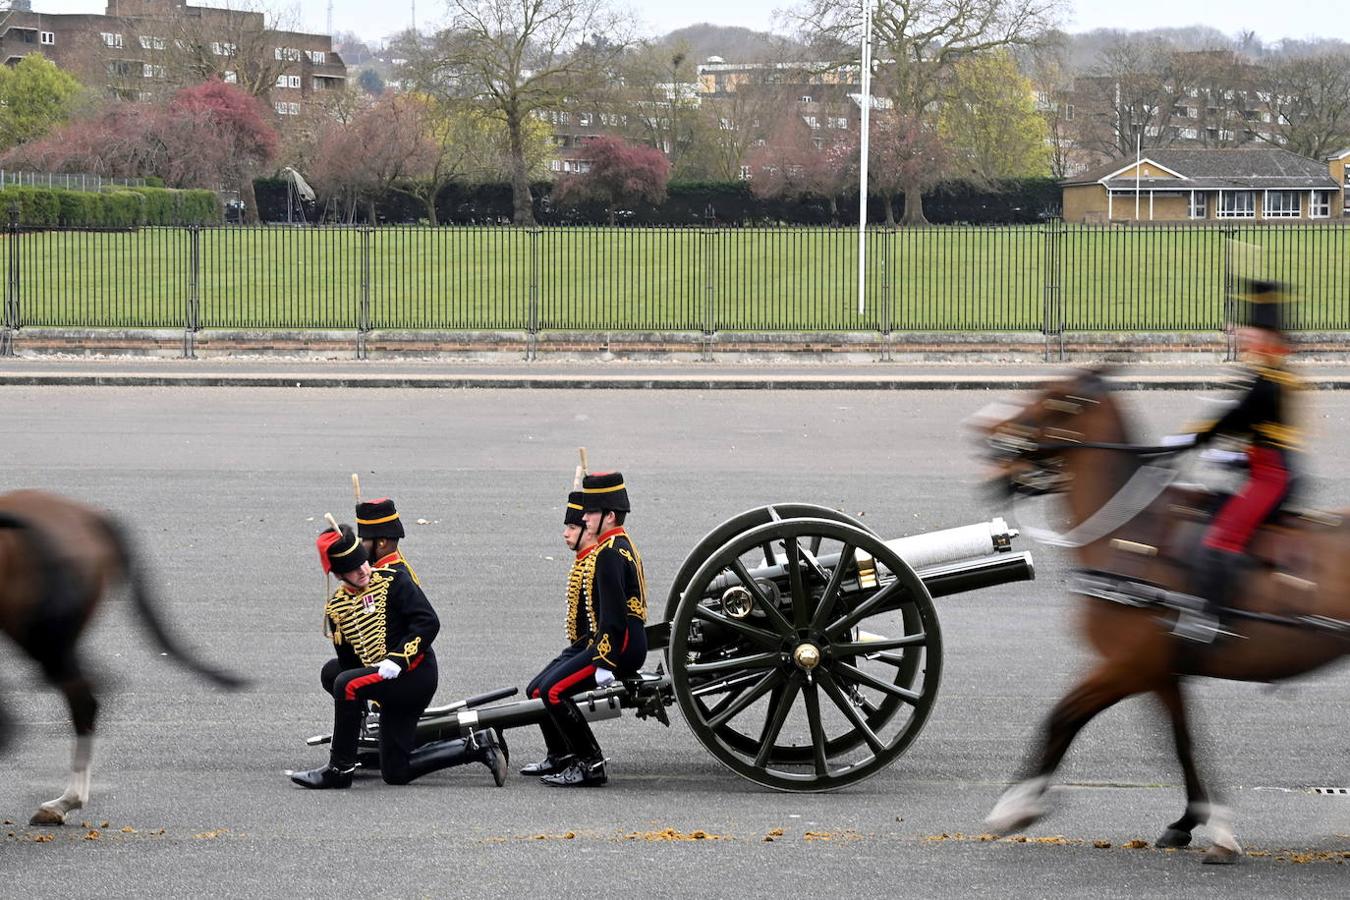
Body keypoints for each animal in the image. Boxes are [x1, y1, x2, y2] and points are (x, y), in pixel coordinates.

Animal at [977, 367, 1344, 863]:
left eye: (1054, 400)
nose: (987, 437)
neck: (1132, 535)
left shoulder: (1129, 665)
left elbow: (1064, 716)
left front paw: (1017, 806)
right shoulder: (1161, 672)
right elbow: (1183, 742)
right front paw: (1192, 821)